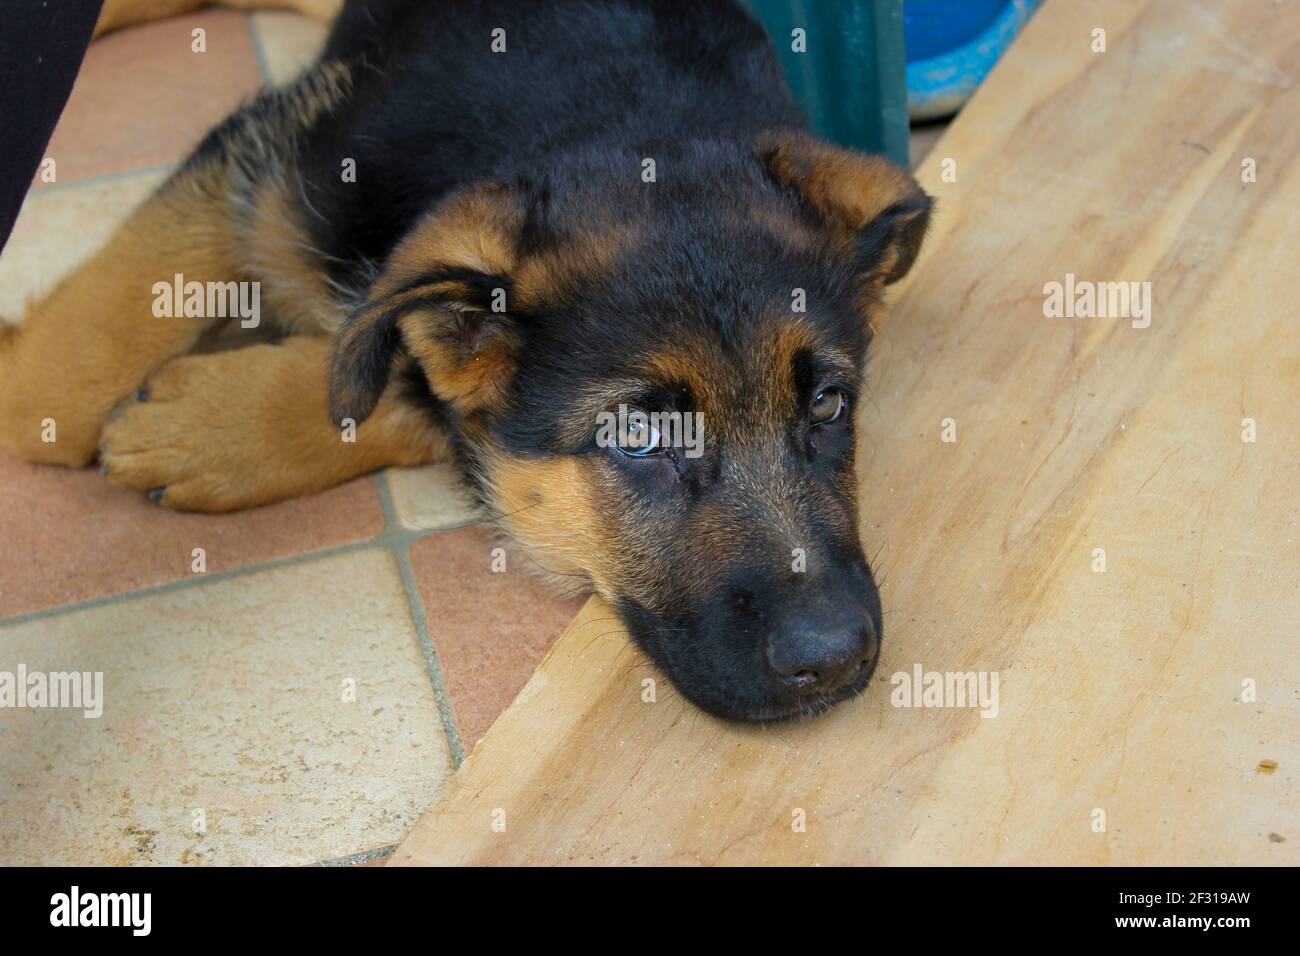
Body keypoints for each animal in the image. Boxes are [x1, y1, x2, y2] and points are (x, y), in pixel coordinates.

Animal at [2, 0, 935, 717]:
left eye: (829, 406)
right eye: (638, 439)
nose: (839, 659)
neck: (619, 122)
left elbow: (400, 380)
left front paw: (215, 425)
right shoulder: (268, 164)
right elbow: (62, 381)